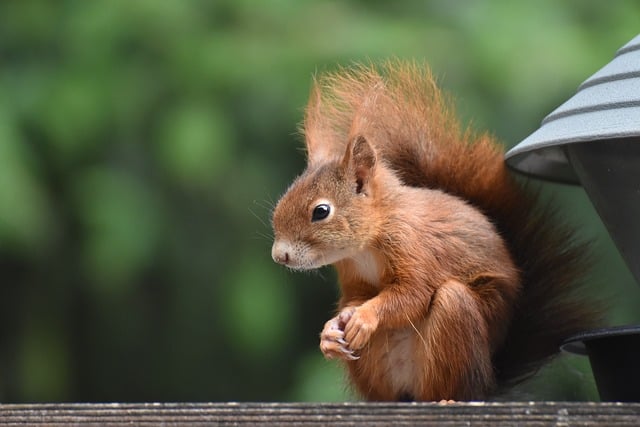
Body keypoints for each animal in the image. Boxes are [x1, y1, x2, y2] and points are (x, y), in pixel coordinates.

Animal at [270, 61, 600, 402]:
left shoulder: (414, 246)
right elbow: (355, 296)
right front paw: (331, 330)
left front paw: (364, 317)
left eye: (321, 211)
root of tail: (488, 379)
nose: (279, 255)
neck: (367, 243)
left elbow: (412, 294)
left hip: (456, 326)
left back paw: (447, 397)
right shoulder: (352, 272)